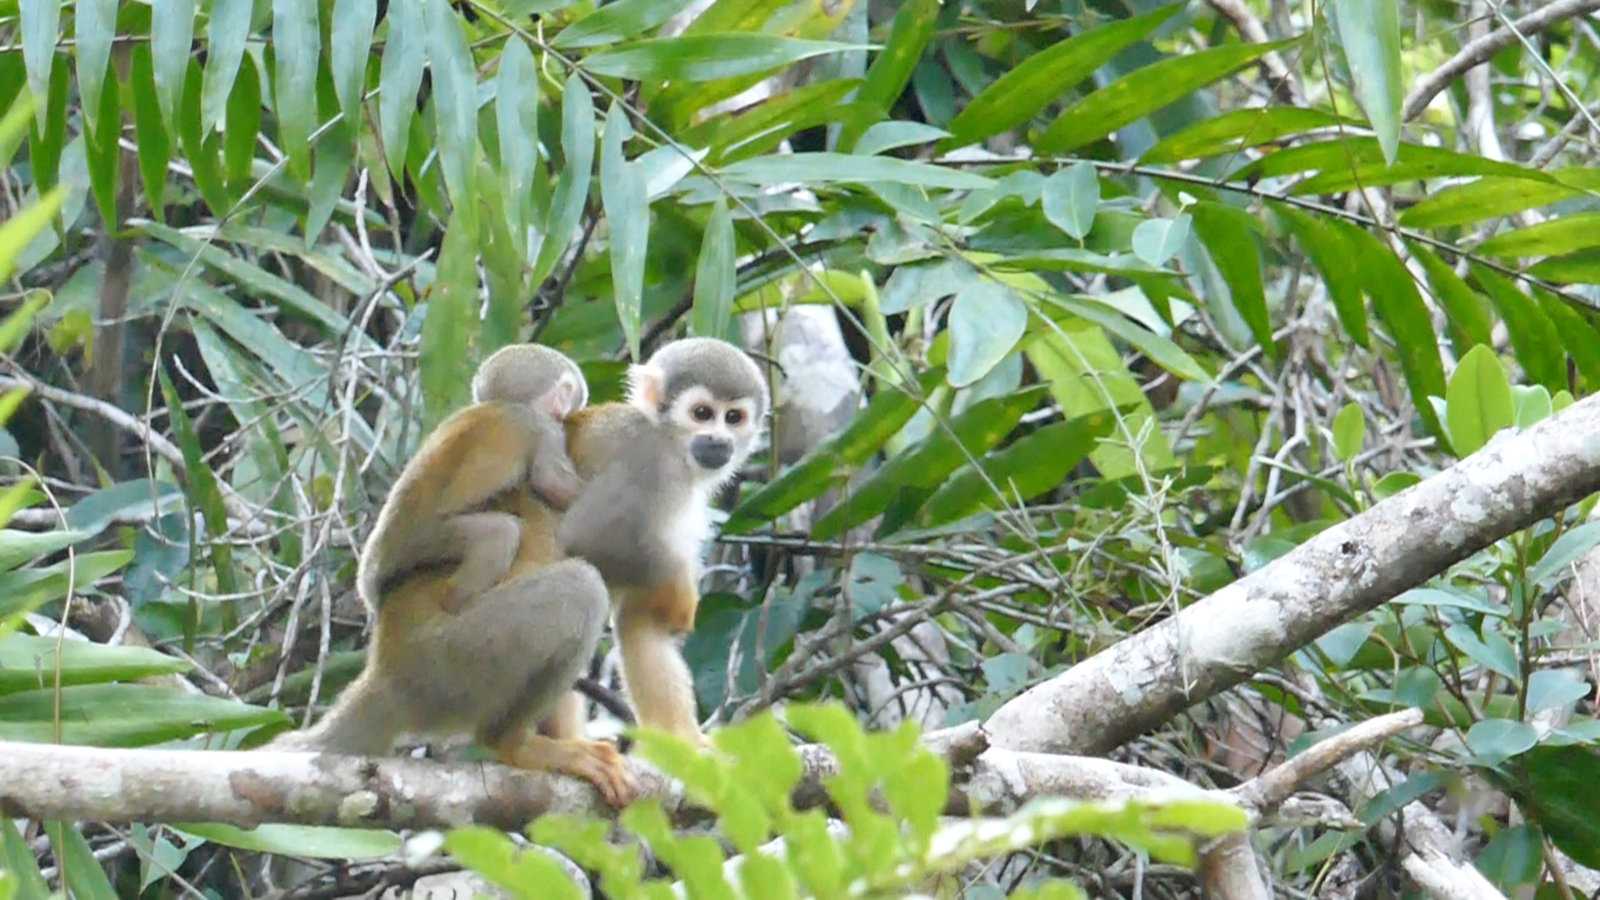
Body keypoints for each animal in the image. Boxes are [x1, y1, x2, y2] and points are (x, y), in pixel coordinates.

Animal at [356, 339, 588, 611]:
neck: (510, 404)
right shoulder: (544, 428)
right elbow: (552, 483)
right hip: (423, 540)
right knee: (500, 532)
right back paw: (456, 599)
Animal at [556, 336, 768, 743]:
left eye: (733, 417)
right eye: (702, 413)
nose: (718, 439)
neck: (670, 440)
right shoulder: (651, 467)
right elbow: (586, 539)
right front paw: (680, 595)